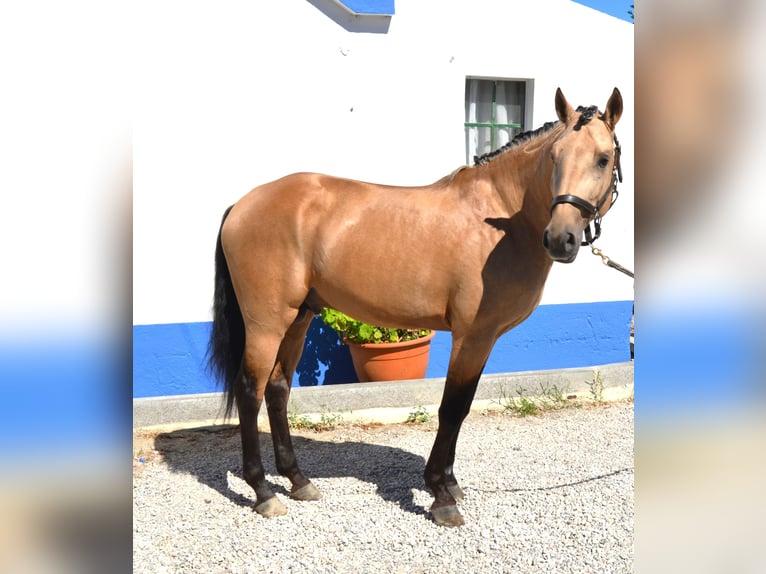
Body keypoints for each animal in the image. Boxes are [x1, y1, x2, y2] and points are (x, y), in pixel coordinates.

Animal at [208, 86, 624, 528]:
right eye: (555, 157)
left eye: (603, 158)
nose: (560, 238)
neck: (502, 221)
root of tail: (242, 204)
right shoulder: (472, 336)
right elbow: (452, 408)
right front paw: (441, 495)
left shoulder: (481, 340)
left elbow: (462, 406)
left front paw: (450, 484)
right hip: (267, 322)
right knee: (250, 390)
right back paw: (263, 491)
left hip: (298, 318)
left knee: (278, 389)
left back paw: (298, 481)